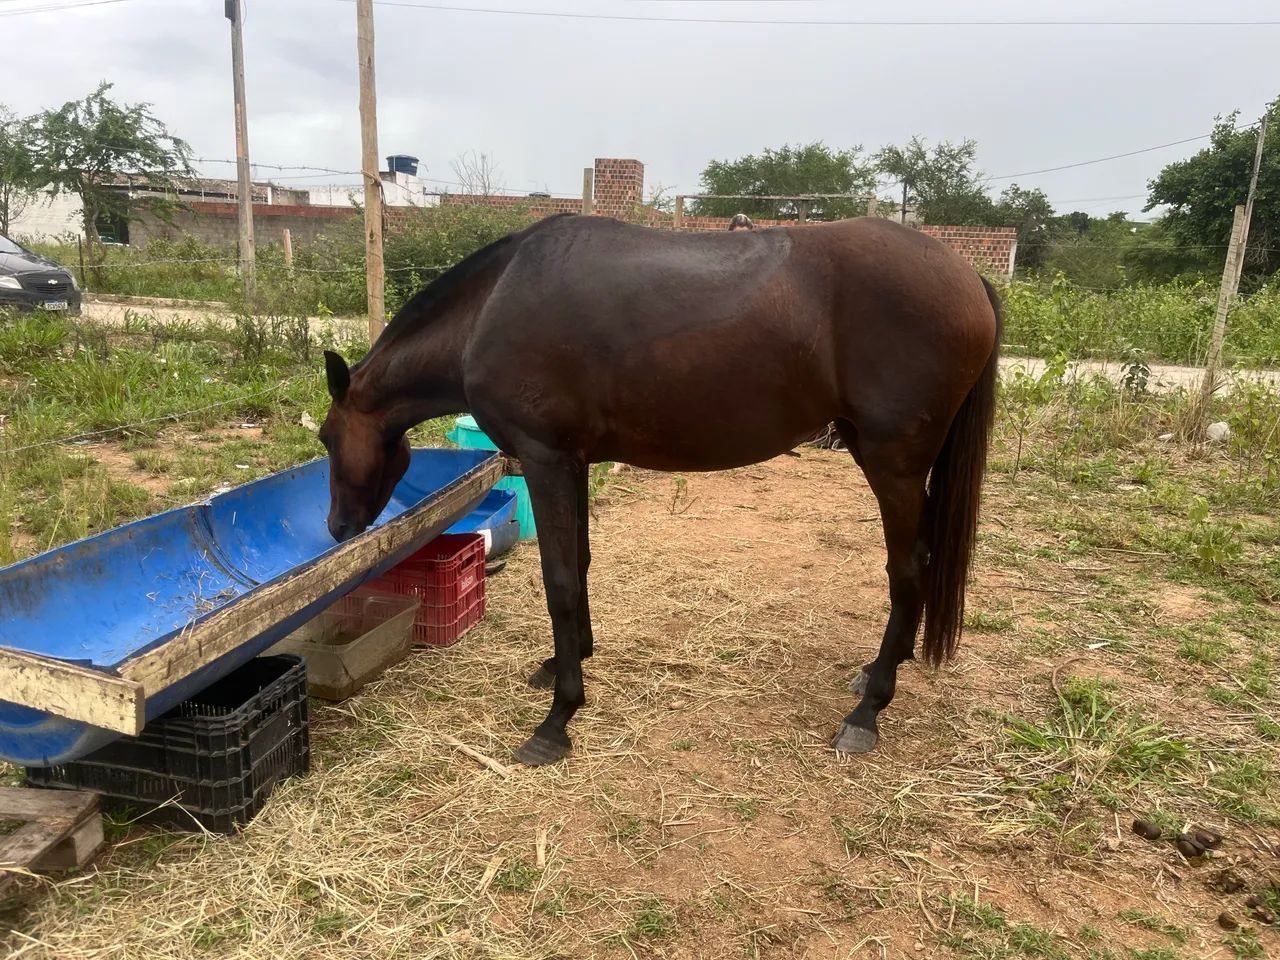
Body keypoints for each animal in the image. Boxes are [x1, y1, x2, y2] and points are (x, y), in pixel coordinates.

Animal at [319, 213, 1001, 767]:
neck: (493, 305)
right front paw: (568, 661)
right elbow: (580, 564)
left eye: (327, 437)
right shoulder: (573, 462)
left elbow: (559, 582)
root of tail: (966, 276)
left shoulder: (545, 459)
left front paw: (558, 719)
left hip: (894, 464)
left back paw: (868, 711)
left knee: (907, 570)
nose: (336, 528)